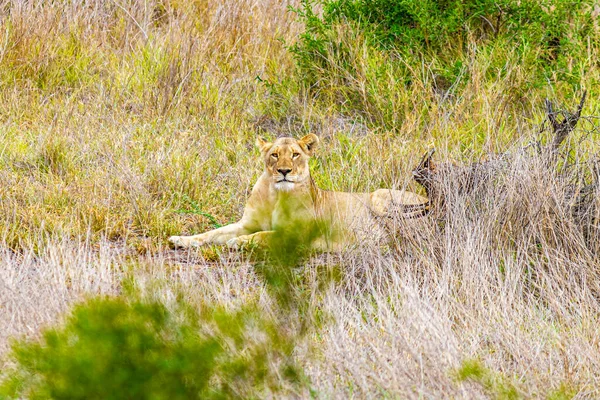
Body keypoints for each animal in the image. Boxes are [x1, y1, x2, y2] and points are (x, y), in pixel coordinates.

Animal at [169, 134, 428, 250]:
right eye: (274, 154)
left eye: (295, 154)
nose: (284, 171)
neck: (275, 195)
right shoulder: (246, 223)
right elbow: (212, 232)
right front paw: (181, 240)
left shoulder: (299, 234)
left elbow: (263, 235)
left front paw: (239, 242)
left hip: (379, 197)